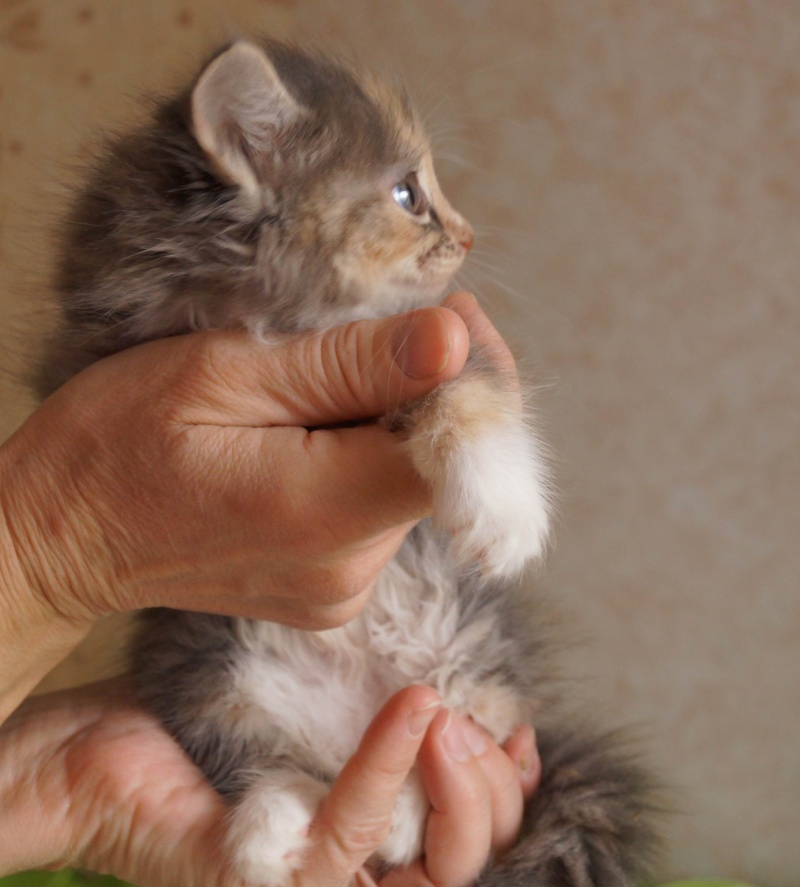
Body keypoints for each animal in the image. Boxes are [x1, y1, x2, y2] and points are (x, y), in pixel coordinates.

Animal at [36, 38, 660, 887]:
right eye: (407, 192)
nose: (468, 234)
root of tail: (352, 720)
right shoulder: (90, 355)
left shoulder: (433, 333)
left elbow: (463, 384)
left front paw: (501, 508)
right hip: (209, 674)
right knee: (271, 759)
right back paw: (271, 828)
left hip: (470, 660)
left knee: (449, 739)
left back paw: (396, 817)